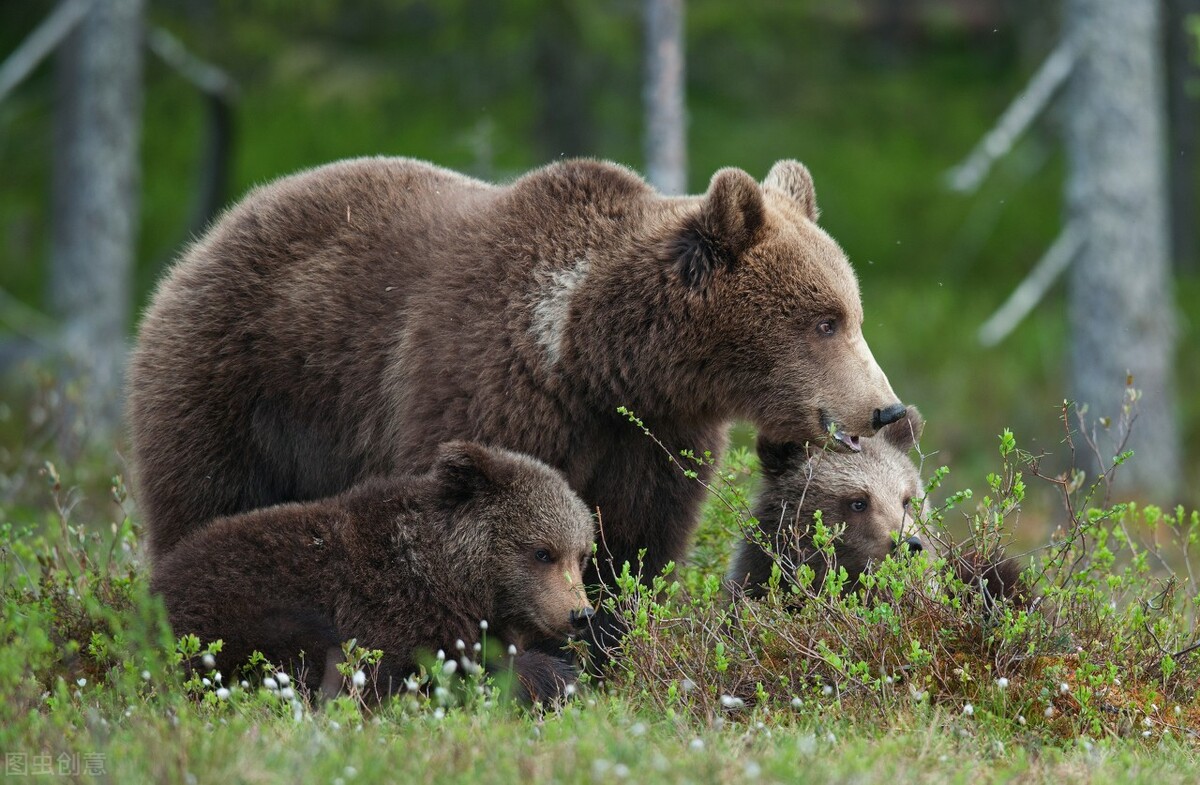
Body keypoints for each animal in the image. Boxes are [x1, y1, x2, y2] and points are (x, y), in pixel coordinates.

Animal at [128, 156, 904, 643]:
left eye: (853, 312)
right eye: (825, 320)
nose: (886, 408)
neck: (590, 358)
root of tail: (214, 231)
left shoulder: (652, 439)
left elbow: (632, 546)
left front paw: (604, 635)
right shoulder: (491, 388)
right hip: (239, 391)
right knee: (208, 502)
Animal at [150, 441, 596, 704]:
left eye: (581, 554)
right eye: (543, 552)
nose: (580, 614)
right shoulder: (391, 606)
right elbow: (413, 671)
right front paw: (553, 676)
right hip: (231, 614)